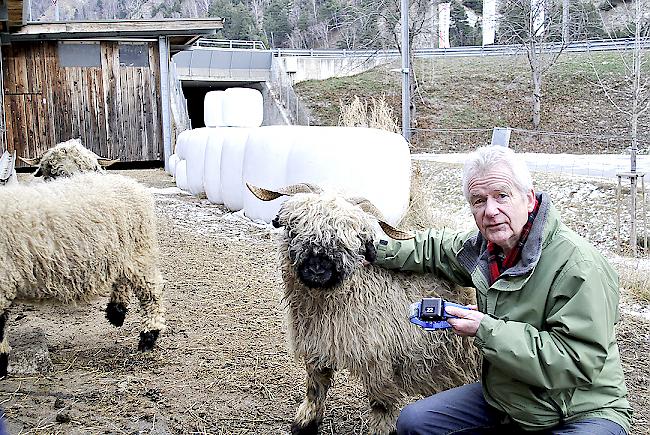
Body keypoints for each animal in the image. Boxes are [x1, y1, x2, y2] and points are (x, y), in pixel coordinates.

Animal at [0, 172, 166, 376]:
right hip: (123, 252)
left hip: (139, 249)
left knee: (151, 293)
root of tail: (132, 184)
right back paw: (116, 312)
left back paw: (148, 336)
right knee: (122, 279)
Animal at [248, 184, 480, 435]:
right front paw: (305, 423)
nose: (318, 269)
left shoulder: (378, 360)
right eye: (294, 230)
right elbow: (315, 387)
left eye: (350, 241)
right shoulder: (318, 344)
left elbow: (382, 404)